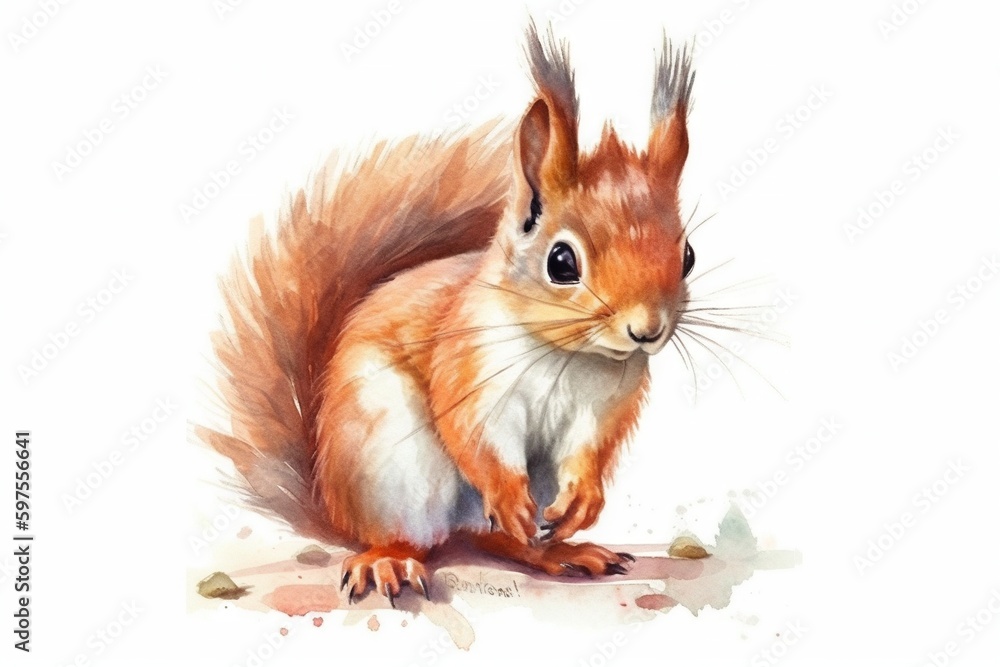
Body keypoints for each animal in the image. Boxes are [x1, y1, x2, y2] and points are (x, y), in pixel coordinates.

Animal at [197, 24, 697, 606]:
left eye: (689, 255)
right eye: (561, 262)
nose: (646, 330)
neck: (568, 355)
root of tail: (334, 506)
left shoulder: (603, 409)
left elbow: (588, 453)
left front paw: (583, 504)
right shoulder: (469, 369)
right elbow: (475, 439)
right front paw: (508, 496)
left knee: (494, 539)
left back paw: (557, 551)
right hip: (394, 464)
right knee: (416, 536)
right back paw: (391, 558)